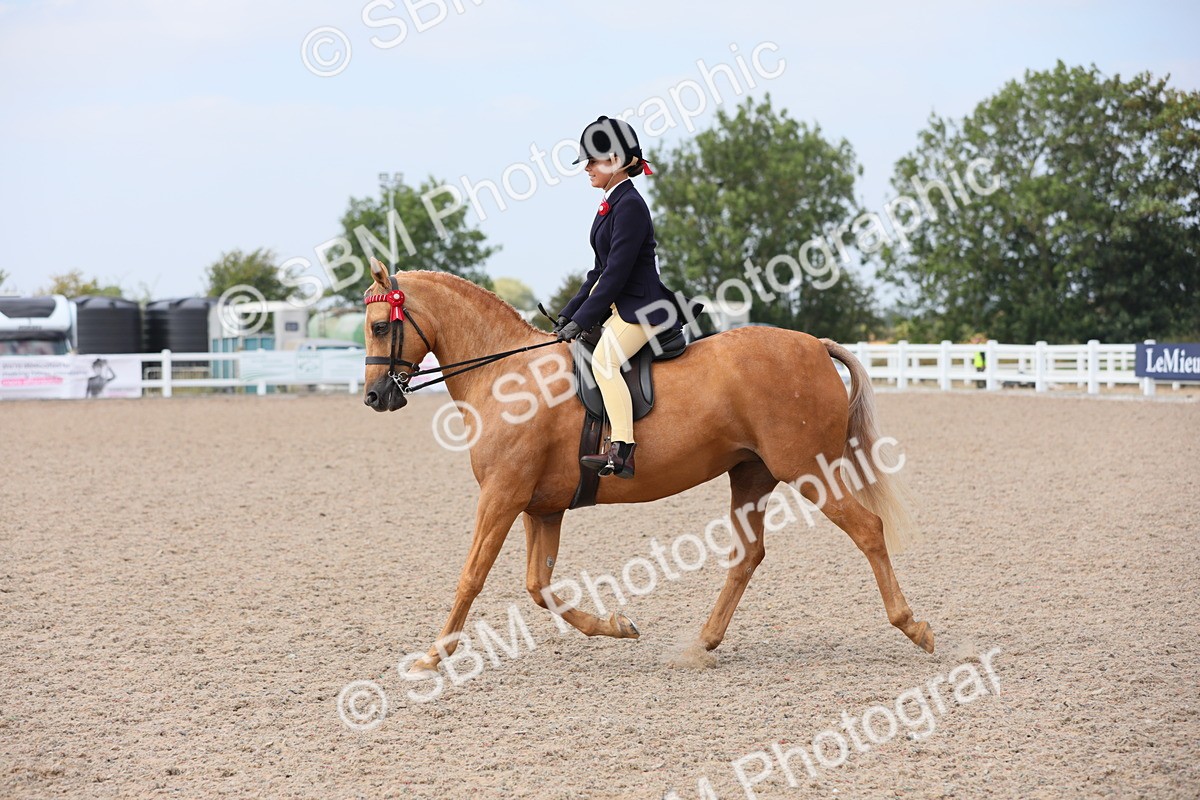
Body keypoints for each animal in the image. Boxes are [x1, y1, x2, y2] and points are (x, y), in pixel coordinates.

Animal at [361, 260, 933, 672]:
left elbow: (472, 576)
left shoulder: (501, 496)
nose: (374, 397)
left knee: (867, 529)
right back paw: (701, 645)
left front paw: (433, 656)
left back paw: (914, 627)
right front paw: (617, 626)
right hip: (752, 474)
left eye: (379, 326)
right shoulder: (540, 508)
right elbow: (539, 587)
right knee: (747, 556)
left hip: (810, 470)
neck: (507, 377)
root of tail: (814, 344)